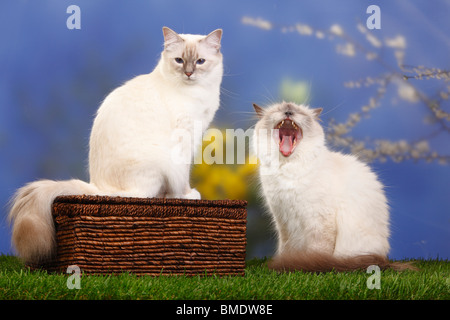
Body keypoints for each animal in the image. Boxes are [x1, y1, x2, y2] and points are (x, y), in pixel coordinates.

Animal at [8, 26, 223, 262]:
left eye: (200, 61)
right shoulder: (183, 142)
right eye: (179, 60)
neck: (195, 93)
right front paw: (188, 196)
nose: (189, 73)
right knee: (146, 195)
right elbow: (183, 178)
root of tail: (99, 188)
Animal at [251, 101, 416, 272]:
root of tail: (384, 260)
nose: (288, 112)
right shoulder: (283, 221)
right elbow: (285, 249)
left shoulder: (319, 221)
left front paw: (309, 265)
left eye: (298, 113)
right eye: (280, 110)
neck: (287, 167)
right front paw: (285, 262)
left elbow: (317, 254)